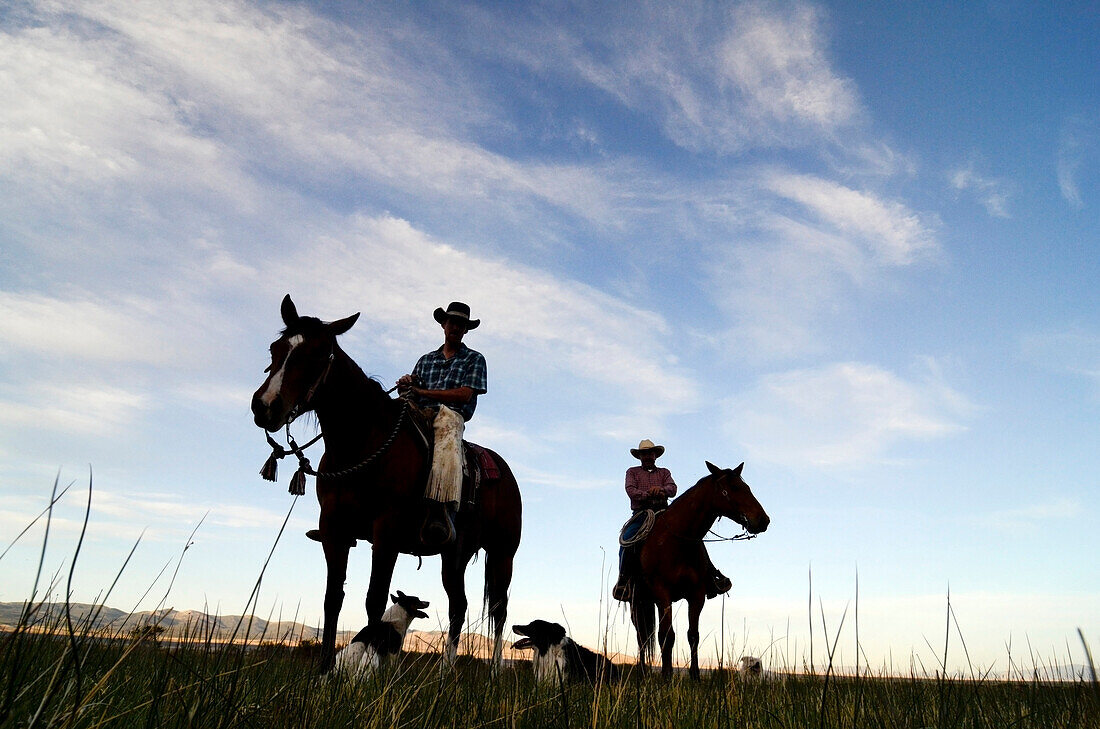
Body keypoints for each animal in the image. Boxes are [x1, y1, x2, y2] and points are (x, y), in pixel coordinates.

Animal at [251, 296, 521, 672]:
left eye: (317, 354)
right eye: (275, 349)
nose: (264, 407)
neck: (361, 444)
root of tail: (506, 473)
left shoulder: (386, 531)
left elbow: (374, 599)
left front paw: (370, 662)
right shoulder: (334, 529)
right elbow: (332, 598)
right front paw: (325, 669)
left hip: (502, 553)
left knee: (499, 608)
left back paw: (495, 669)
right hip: (456, 553)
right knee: (459, 605)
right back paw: (446, 671)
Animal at [633, 464, 770, 681]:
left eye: (746, 487)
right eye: (734, 488)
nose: (763, 520)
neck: (678, 542)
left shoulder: (696, 594)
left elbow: (693, 635)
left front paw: (695, 675)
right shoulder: (663, 593)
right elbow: (667, 635)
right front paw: (666, 675)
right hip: (637, 603)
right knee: (642, 637)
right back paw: (642, 672)